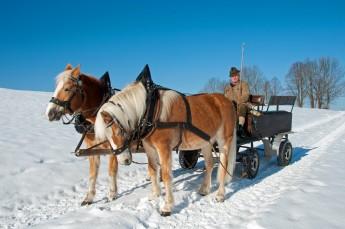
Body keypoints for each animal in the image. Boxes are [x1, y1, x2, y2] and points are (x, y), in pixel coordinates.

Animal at [45, 63, 132, 205]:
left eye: (67, 89)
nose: (49, 113)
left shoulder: (115, 148)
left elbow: (112, 171)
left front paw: (112, 194)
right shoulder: (92, 150)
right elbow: (93, 173)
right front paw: (89, 197)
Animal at [94, 65, 239, 216]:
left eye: (119, 131)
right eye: (106, 137)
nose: (124, 160)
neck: (150, 110)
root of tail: (228, 101)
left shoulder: (164, 147)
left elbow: (165, 174)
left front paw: (167, 207)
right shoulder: (149, 148)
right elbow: (152, 170)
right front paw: (155, 195)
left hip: (224, 141)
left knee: (223, 166)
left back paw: (220, 195)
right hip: (205, 142)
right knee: (210, 164)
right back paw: (204, 190)